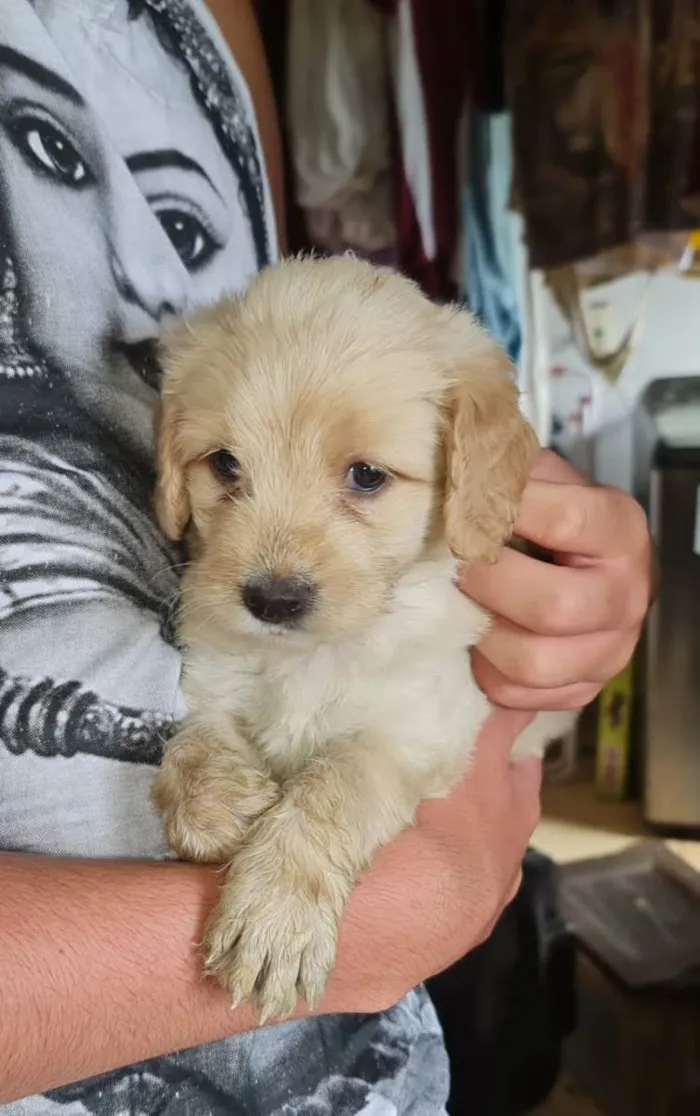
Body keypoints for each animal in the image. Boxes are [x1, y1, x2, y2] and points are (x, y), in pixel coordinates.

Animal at [152, 256, 576, 1022]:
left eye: (368, 476)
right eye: (225, 465)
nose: (272, 600)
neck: (310, 658)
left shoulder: (415, 733)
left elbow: (333, 786)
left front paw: (275, 916)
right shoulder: (212, 680)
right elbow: (189, 746)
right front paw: (219, 804)